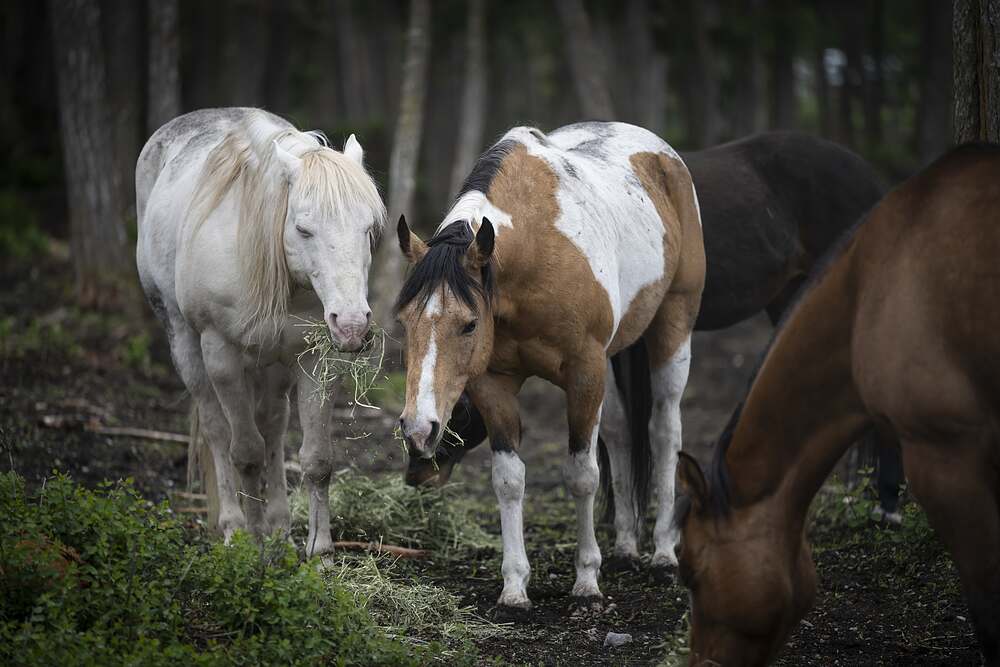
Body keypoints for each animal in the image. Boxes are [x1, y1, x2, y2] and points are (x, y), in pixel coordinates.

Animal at [136, 108, 386, 554]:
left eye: (368, 228)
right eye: (303, 229)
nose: (352, 324)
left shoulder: (314, 359)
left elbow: (316, 458)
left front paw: (319, 551)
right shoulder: (222, 355)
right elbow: (246, 453)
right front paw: (252, 546)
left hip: (275, 364)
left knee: (272, 426)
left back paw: (281, 529)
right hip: (185, 341)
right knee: (218, 431)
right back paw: (233, 526)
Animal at [394, 122, 705, 608]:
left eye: (469, 324)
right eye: (405, 321)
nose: (418, 429)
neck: (532, 256)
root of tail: (664, 156)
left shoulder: (584, 372)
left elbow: (581, 475)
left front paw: (586, 581)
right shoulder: (494, 384)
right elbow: (509, 478)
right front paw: (515, 586)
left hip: (674, 325)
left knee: (664, 431)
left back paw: (662, 554)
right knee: (619, 430)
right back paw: (626, 548)